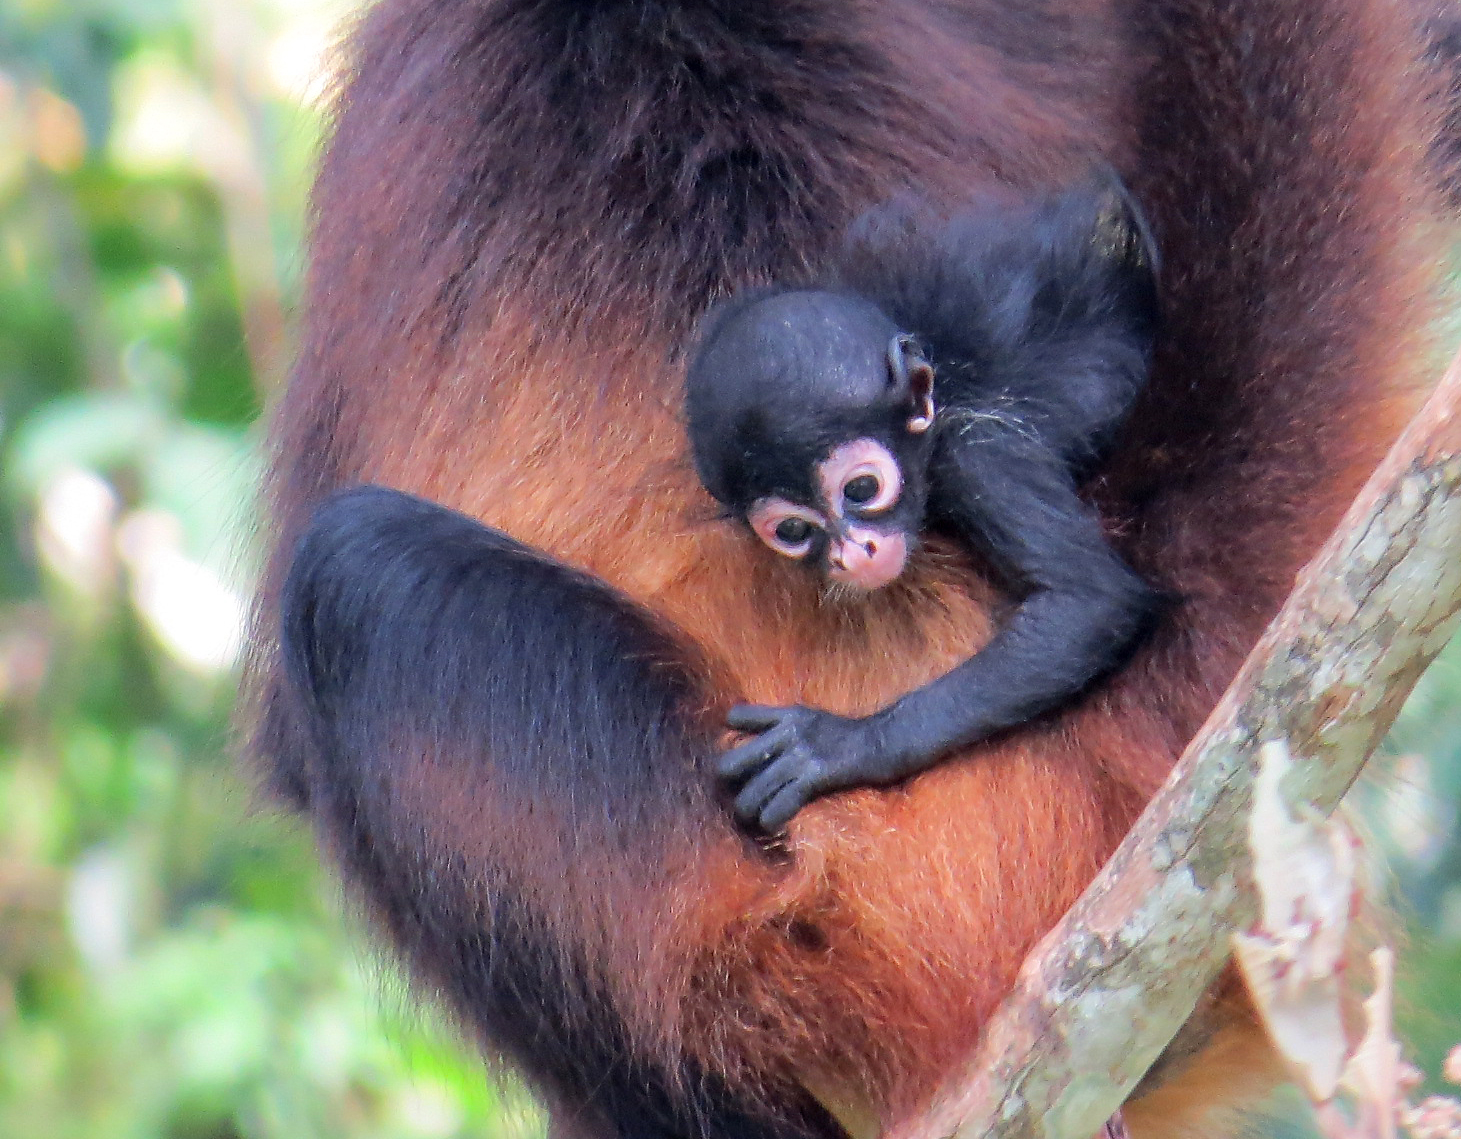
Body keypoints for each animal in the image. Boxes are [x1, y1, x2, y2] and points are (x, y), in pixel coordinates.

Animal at [685, 187, 1162, 833]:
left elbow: (1091, 603)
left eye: (862, 489)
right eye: (792, 529)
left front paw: (845, 745)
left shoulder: (979, 457)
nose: (853, 552)